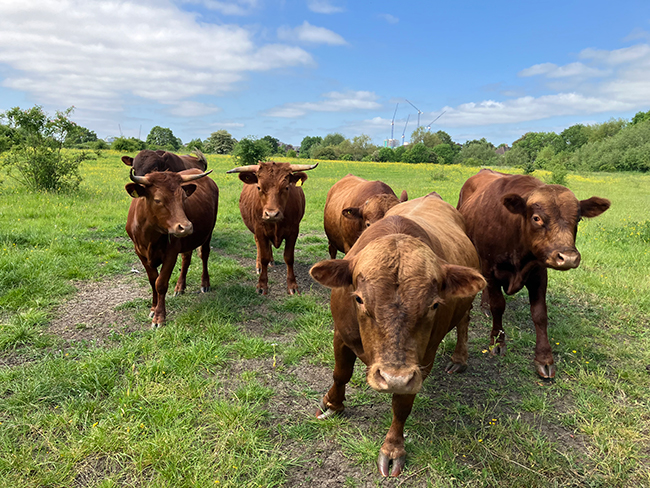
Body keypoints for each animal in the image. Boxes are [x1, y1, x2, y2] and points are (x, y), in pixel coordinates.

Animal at [125, 169, 219, 328]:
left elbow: (161, 283)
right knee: (186, 258)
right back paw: (180, 287)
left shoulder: (171, 253)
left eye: (184, 198)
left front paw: (159, 317)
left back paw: (205, 283)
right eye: (158, 200)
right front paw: (153, 308)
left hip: (208, 232)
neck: (149, 235)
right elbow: (153, 281)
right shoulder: (140, 252)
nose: (186, 227)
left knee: (204, 255)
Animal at [227, 162, 318, 296]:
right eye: (259, 187)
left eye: (286, 187)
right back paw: (259, 266)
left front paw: (292, 285)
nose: (271, 214)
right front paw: (262, 285)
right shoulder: (260, 230)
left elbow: (289, 258)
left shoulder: (293, 232)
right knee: (259, 246)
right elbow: (264, 256)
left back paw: (271, 260)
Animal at [308, 193, 480, 476]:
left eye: (434, 304)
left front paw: (393, 448)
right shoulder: (341, 334)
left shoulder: (422, 361)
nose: (393, 378)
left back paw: (459, 359)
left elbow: (402, 404)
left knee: (464, 321)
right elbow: (341, 373)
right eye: (359, 299)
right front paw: (332, 404)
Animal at [456, 170, 608, 380]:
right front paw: (498, 341)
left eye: (578, 219)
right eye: (536, 218)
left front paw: (544, 359)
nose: (568, 258)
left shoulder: (539, 273)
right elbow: (498, 305)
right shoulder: (489, 269)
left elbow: (540, 314)